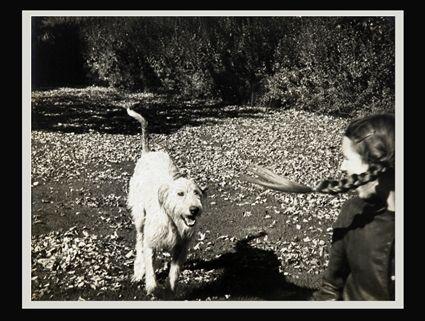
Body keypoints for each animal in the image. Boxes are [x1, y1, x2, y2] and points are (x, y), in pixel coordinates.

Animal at [125, 109, 206, 294]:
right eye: (180, 194)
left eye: (196, 193)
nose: (194, 209)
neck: (172, 220)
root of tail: (148, 153)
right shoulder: (150, 243)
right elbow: (149, 262)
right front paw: (151, 285)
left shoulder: (181, 247)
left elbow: (175, 269)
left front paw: (171, 285)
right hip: (139, 217)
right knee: (139, 241)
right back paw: (138, 270)